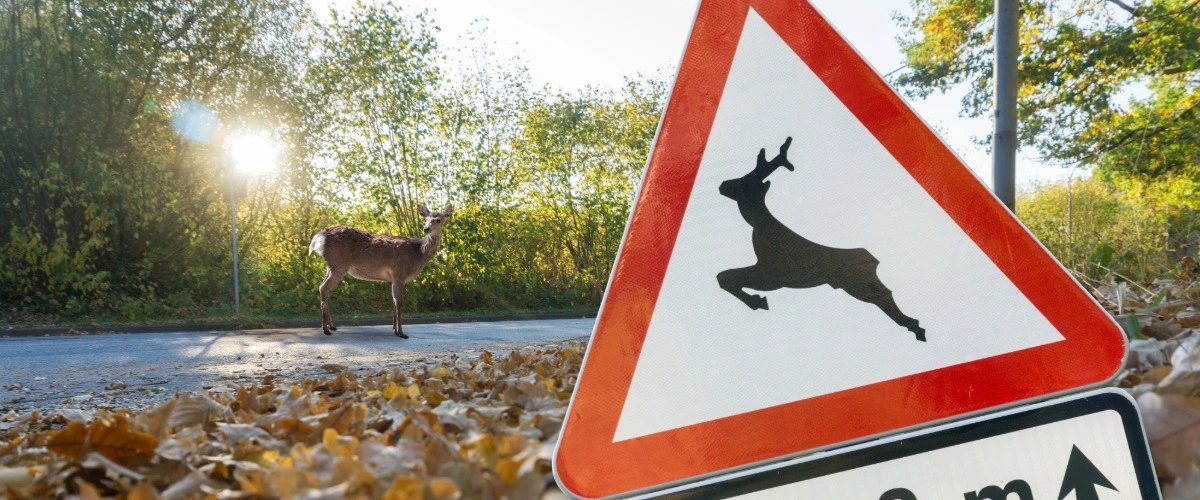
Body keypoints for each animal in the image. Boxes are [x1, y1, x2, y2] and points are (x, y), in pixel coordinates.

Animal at [308, 204, 453, 338]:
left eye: (438, 220)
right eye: (426, 219)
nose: (426, 229)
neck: (419, 254)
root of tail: (319, 236)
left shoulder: (393, 278)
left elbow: (394, 302)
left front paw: (394, 328)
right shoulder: (399, 274)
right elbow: (399, 303)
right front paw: (401, 333)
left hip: (331, 266)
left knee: (325, 289)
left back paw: (331, 326)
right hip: (338, 265)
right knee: (323, 288)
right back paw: (325, 329)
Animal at [716, 137, 926, 342]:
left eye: (744, 182)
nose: (722, 185)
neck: (760, 226)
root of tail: (874, 259)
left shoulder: (775, 275)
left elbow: (724, 277)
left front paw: (758, 300)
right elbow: (724, 276)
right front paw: (757, 300)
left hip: (856, 283)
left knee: (884, 294)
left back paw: (916, 328)